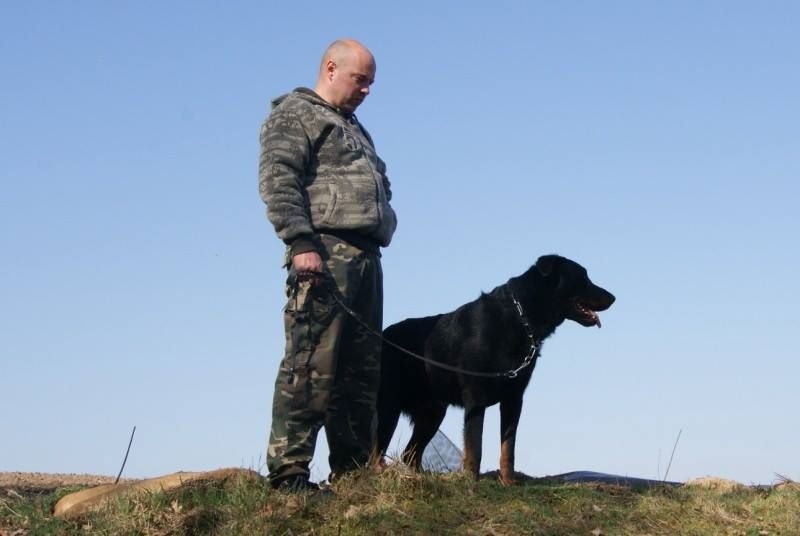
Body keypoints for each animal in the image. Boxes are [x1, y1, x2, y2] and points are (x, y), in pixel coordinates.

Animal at [375, 254, 615, 484]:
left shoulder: (513, 399)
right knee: (378, 448)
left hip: (432, 412)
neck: (520, 318)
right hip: (388, 406)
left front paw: (508, 482)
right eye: (583, 277)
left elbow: (508, 448)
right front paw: (471, 482)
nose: (613, 297)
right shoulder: (475, 399)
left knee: (409, 453)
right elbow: (475, 447)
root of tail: (382, 335)